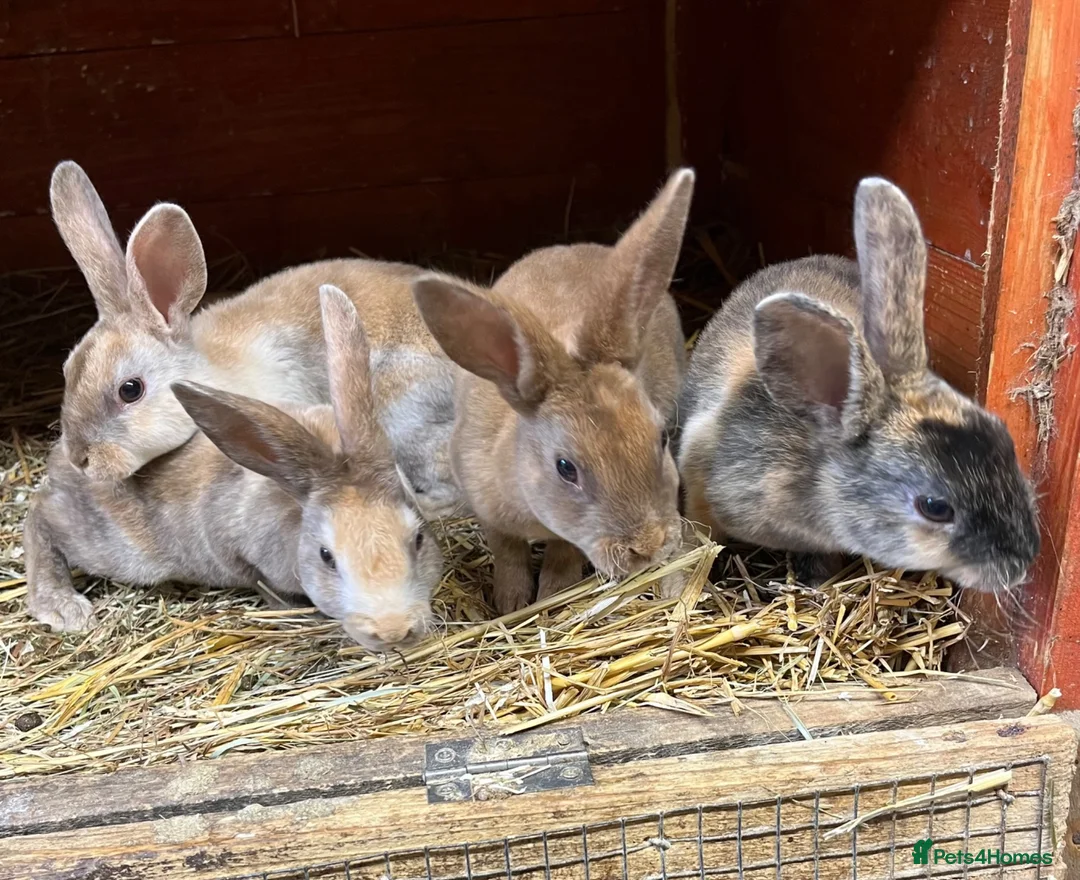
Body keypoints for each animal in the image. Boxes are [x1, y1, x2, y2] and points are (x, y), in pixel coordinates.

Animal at [24, 285, 444, 651]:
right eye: (327, 556)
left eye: (418, 539)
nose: (393, 631)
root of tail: (64, 459)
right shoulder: (234, 550)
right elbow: (258, 582)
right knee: (39, 516)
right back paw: (62, 605)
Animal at [411, 169, 695, 614]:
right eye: (565, 468)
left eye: (662, 438)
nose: (647, 547)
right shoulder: (488, 509)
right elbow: (507, 551)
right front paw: (511, 602)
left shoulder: (567, 535)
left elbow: (563, 551)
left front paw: (552, 595)